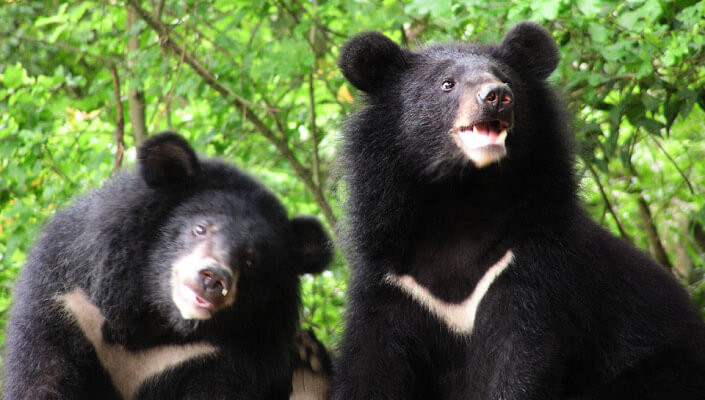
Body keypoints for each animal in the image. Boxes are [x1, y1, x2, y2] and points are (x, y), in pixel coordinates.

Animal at [3, 133, 332, 398]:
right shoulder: (70, 304)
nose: (213, 279)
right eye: (200, 228)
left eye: (252, 260)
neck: (156, 319)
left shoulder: (221, 357)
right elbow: (42, 375)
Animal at [332, 22, 704, 400]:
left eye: (505, 79)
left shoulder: (530, 266)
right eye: (447, 83)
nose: (496, 96)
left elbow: (522, 357)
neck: (461, 199)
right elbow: (372, 364)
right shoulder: (391, 280)